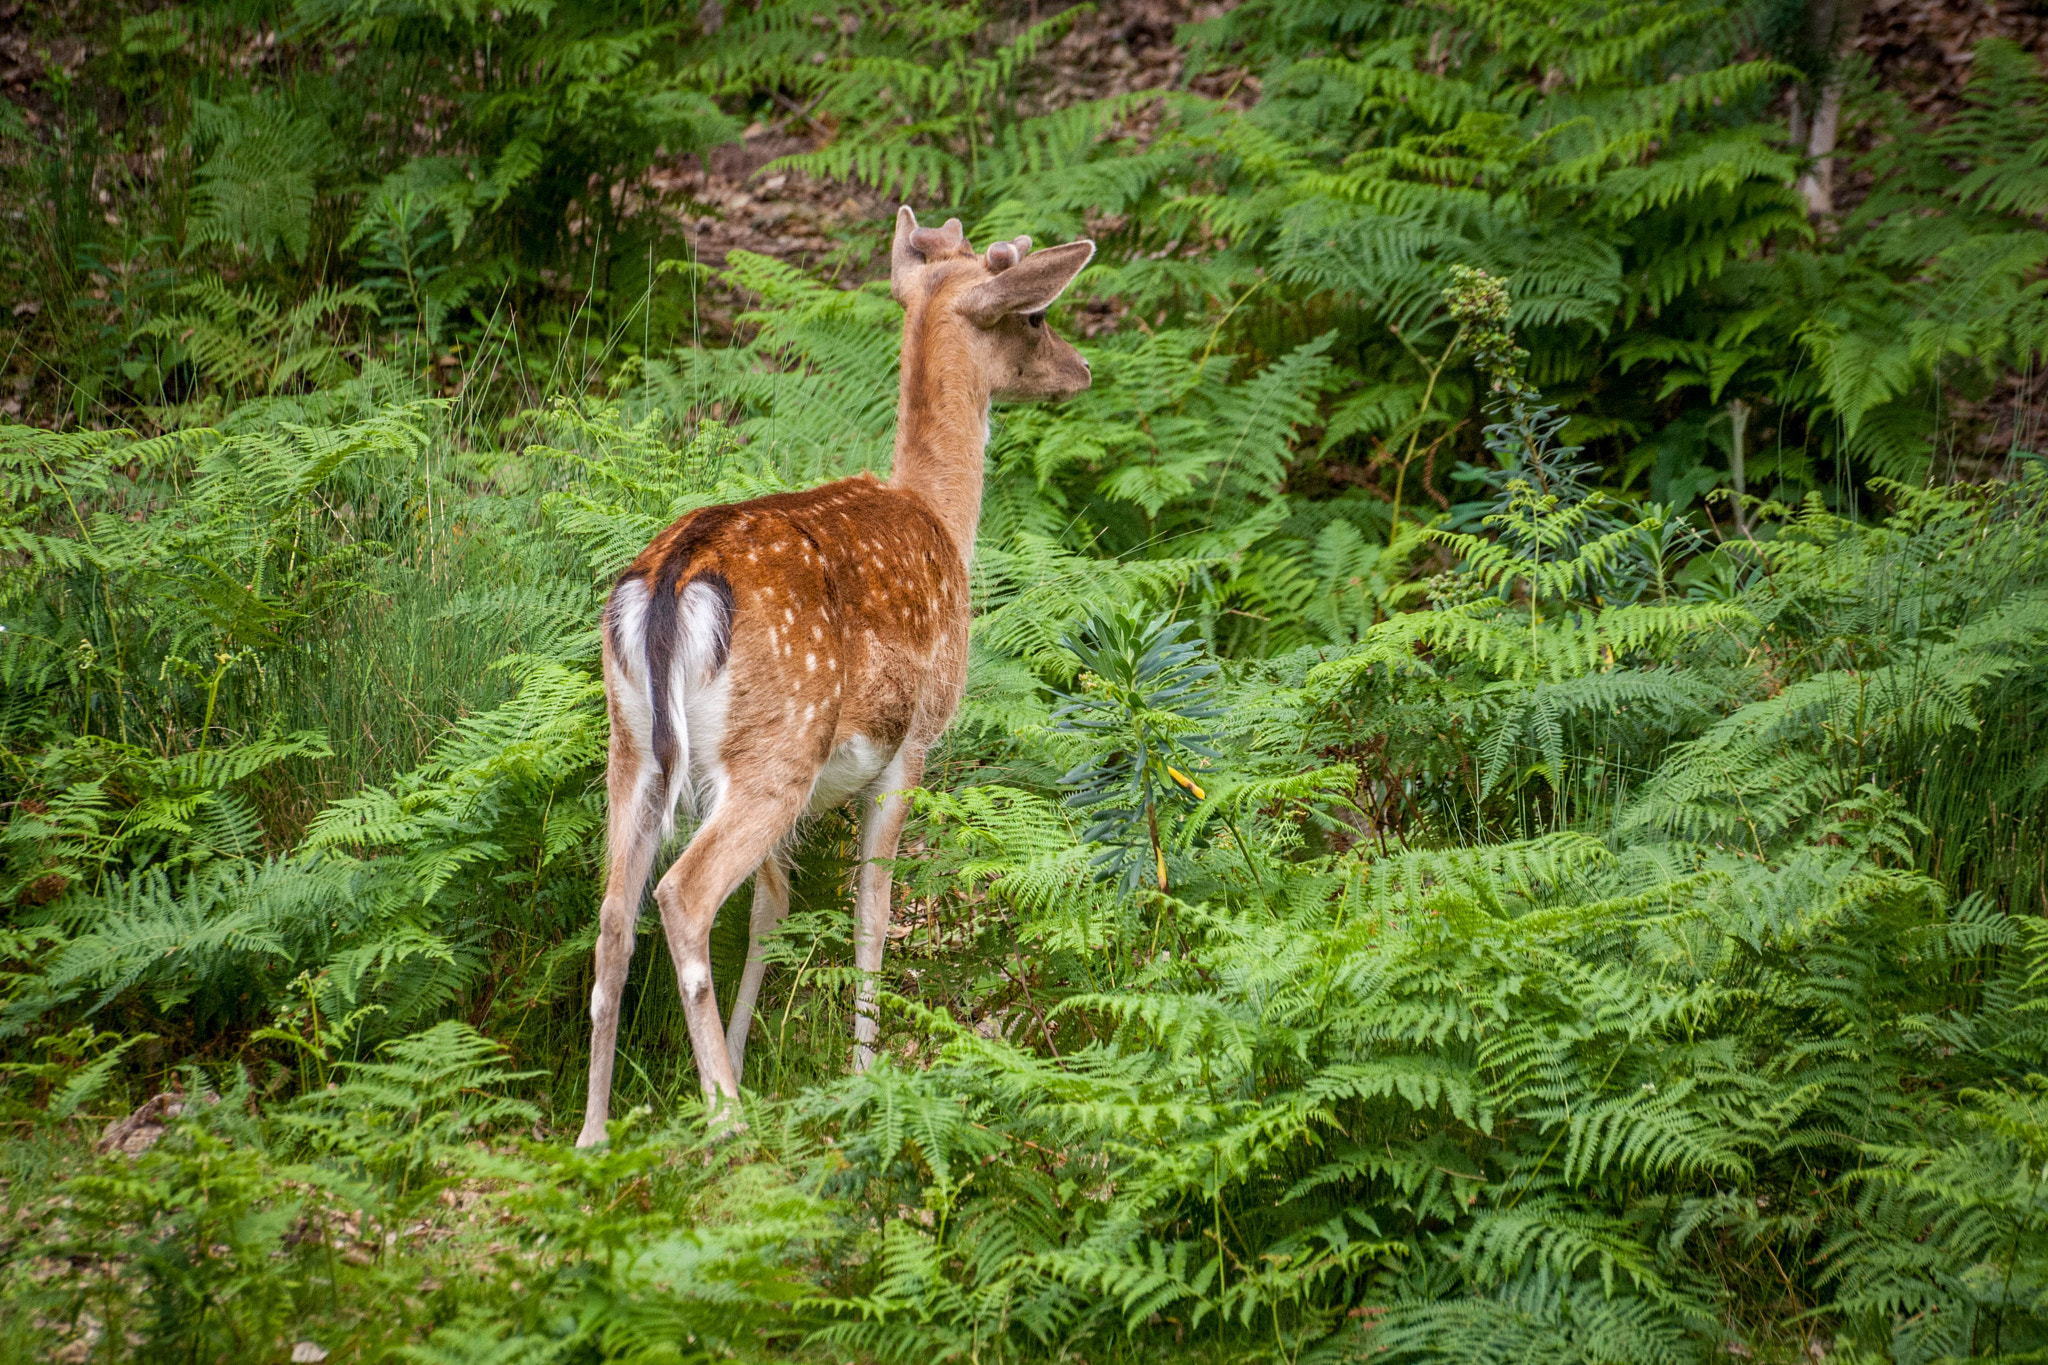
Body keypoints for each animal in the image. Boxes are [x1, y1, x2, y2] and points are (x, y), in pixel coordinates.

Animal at [576, 207, 1096, 1145]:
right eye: (1036, 316)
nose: (1080, 369)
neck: (944, 518)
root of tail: (671, 578)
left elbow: (773, 910)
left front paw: (751, 1052)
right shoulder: (913, 742)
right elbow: (872, 906)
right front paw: (862, 1071)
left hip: (634, 745)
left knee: (611, 915)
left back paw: (595, 1134)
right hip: (777, 743)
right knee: (681, 895)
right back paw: (726, 1119)